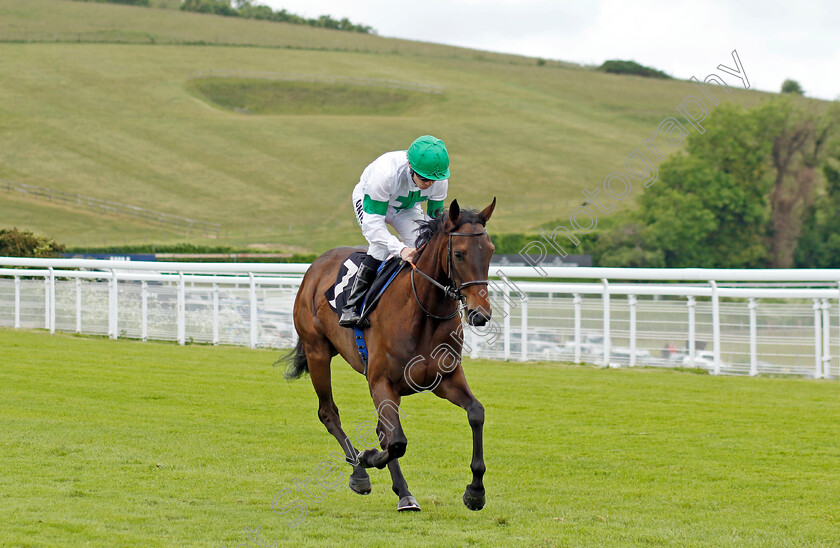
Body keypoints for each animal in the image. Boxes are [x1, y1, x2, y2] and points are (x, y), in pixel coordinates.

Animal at [282, 198, 496, 512]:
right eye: (459, 254)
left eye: (490, 250)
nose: (480, 314)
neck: (423, 313)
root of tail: (317, 266)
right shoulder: (382, 382)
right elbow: (395, 441)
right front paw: (367, 458)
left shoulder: (444, 378)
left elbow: (476, 413)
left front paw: (476, 491)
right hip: (316, 351)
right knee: (329, 413)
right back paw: (360, 472)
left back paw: (402, 491)